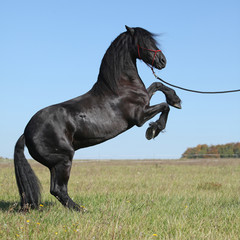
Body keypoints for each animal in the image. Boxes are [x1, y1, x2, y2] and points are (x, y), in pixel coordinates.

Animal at [14, 25, 181, 211]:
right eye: (143, 42)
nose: (162, 61)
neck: (120, 87)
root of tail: (26, 132)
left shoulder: (146, 101)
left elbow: (158, 85)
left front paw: (175, 99)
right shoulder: (139, 117)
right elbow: (164, 106)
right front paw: (153, 129)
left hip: (54, 165)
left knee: (56, 189)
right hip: (63, 160)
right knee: (58, 189)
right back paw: (81, 210)